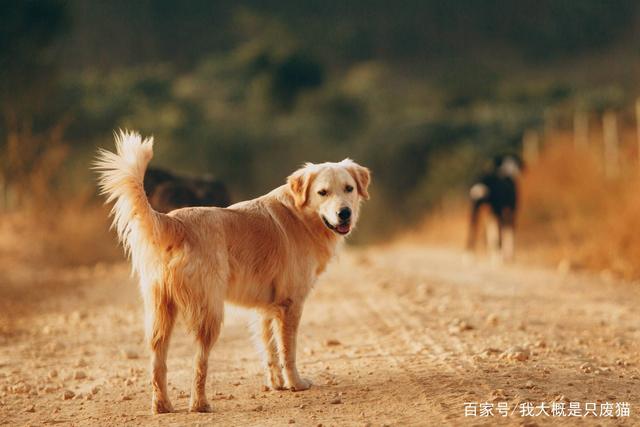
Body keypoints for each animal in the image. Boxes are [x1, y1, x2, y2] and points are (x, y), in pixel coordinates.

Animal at [92, 130, 368, 414]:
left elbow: (269, 349)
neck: (300, 215)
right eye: (322, 192)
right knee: (199, 362)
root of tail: (174, 221)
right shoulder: (290, 305)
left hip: (161, 310)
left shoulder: (266, 308)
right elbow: (287, 350)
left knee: (158, 359)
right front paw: (295, 383)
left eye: (349, 188)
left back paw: (162, 406)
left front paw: (276, 384)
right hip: (210, 312)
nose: (344, 213)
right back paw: (200, 404)